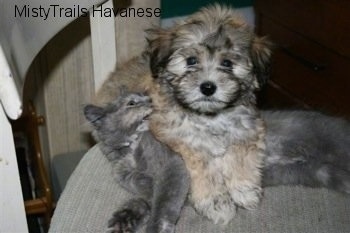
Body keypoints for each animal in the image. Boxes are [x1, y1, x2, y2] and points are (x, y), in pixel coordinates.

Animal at [83, 92, 190, 233]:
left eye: (145, 96)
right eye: (131, 103)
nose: (151, 100)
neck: (130, 148)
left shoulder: (171, 164)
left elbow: (163, 201)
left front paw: (156, 228)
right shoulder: (133, 179)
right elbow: (140, 202)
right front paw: (122, 223)